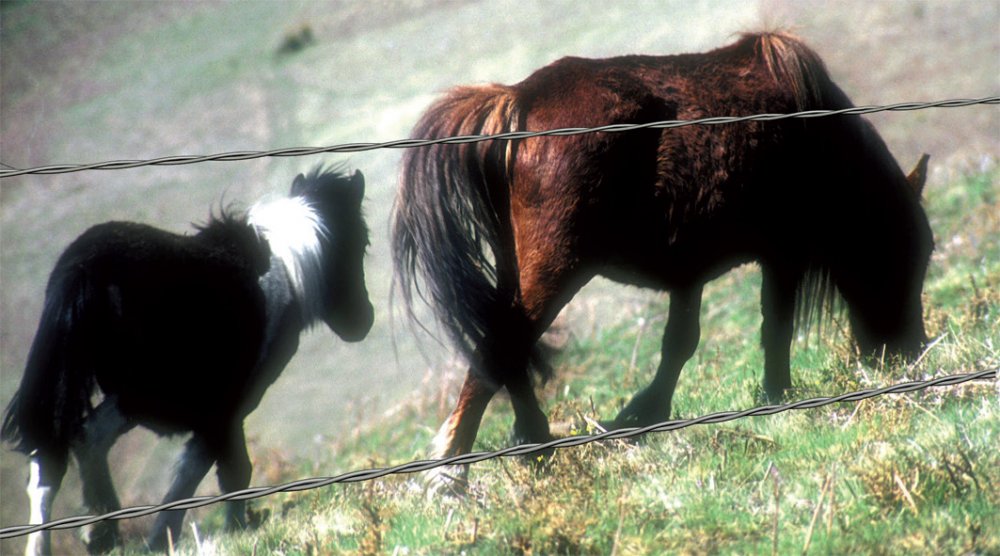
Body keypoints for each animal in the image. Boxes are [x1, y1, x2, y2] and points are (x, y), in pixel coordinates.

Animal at [390, 32, 928, 488]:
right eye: (909, 250)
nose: (910, 354)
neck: (814, 138)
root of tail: (515, 100)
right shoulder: (782, 255)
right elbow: (774, 327)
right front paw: (775, 397)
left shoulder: (690, 274)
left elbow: (679, 344)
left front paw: (641, 416)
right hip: (553, 271)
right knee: (499, 349)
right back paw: (452, 471)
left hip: (520, 271)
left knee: (510, 353)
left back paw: (534, 447)